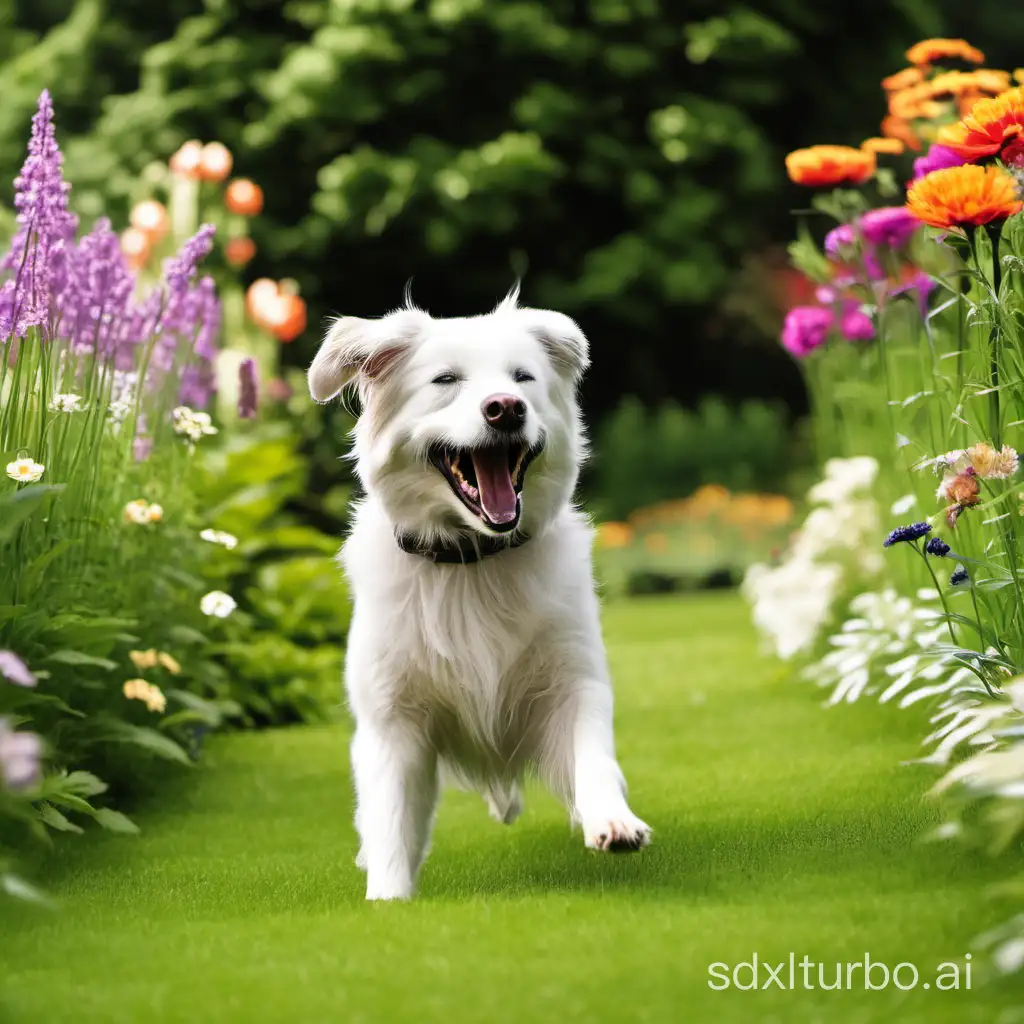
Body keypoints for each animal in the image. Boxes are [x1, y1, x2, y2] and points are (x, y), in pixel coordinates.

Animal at [307, 286, 651, 897]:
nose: (506, 407)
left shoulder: (574, 682)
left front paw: (613, 821)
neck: (473, 564)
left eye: (523, 378)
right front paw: (387, 899)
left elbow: (593, 757)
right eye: (446, 380)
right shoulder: (393, 722)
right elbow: (390, 821)